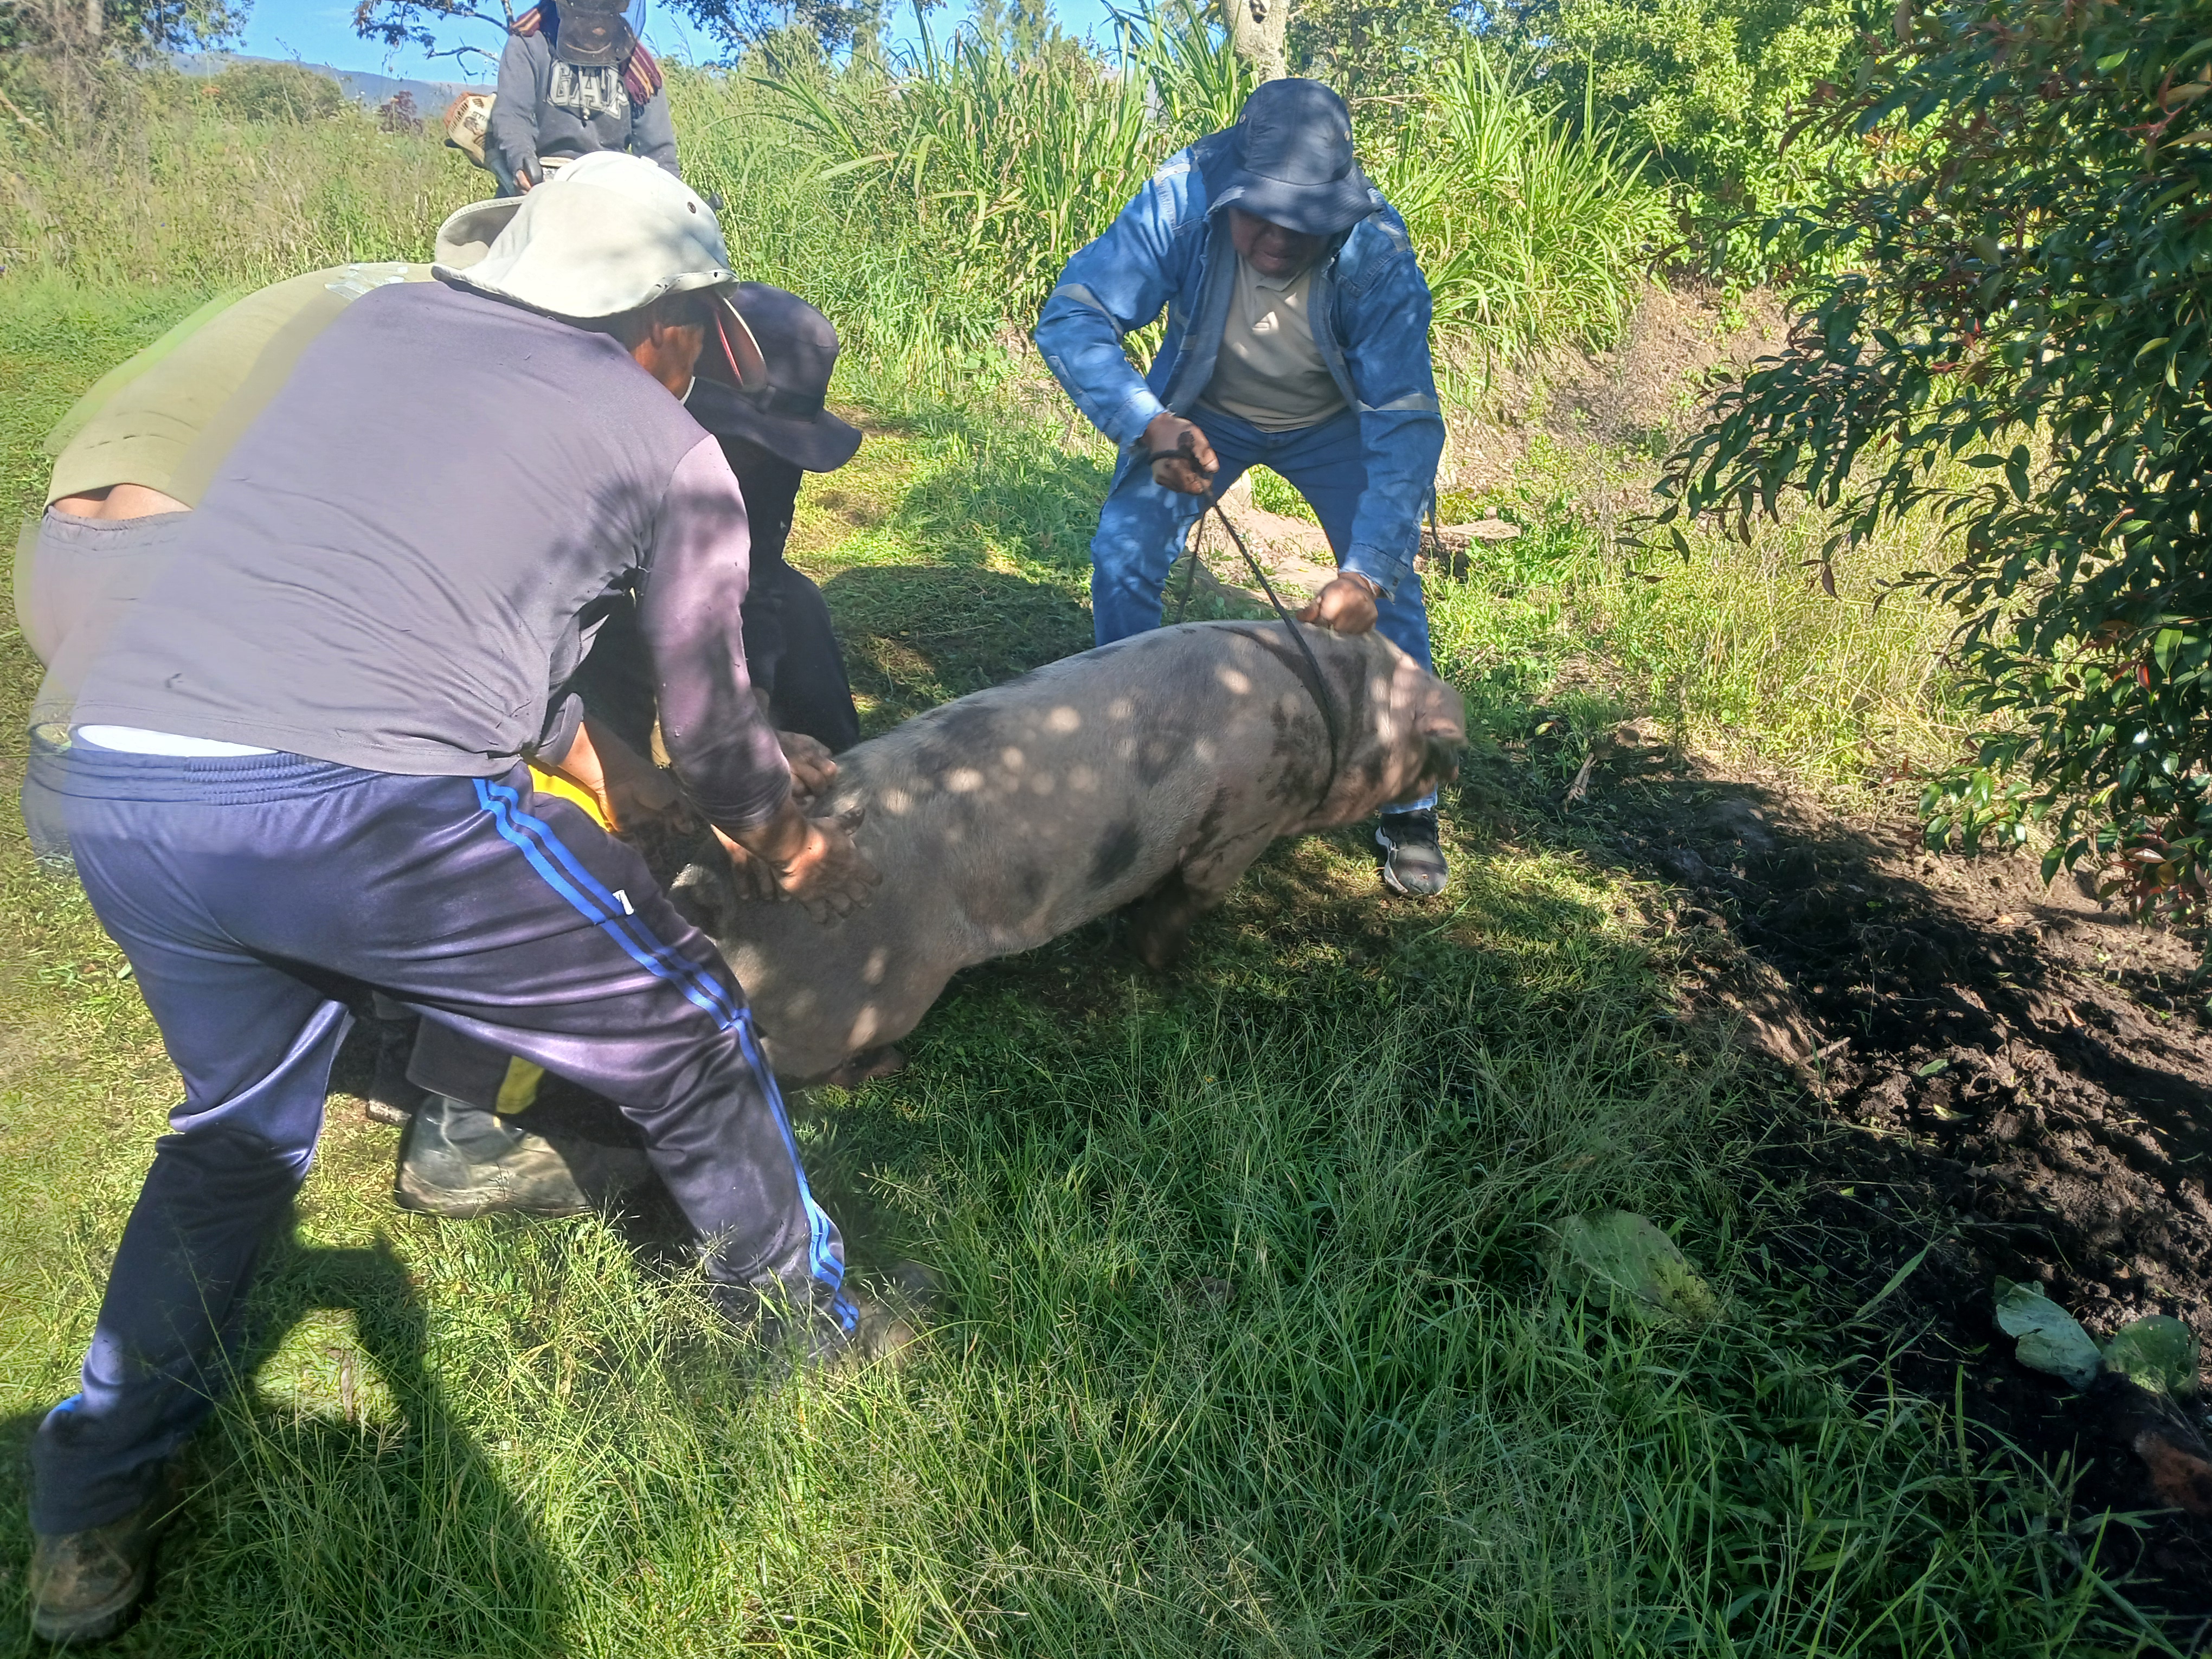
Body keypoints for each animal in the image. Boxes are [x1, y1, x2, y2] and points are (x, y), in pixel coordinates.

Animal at [667, 619, 1466, 1084]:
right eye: (1420, 736)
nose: (1457, 745)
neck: (1332, 707)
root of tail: (712, 891)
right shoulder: (1246, 818)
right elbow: (1196, 890)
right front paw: (1163, 963)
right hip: (848, 995)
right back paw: (883, 1069)